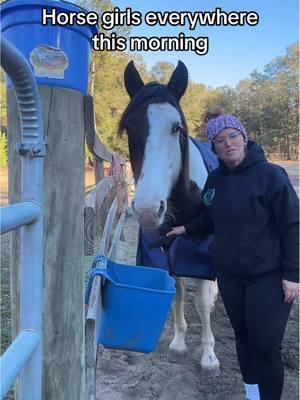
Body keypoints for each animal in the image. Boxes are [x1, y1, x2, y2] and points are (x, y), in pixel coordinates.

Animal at [118, 60, 220, 376]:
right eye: (129, 127)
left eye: (176, 127)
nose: (148, 209)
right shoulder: (165, 250)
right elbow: (176, 293)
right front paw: (178, 345)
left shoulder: (200, 249)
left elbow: (201, 302)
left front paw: (209, 357)